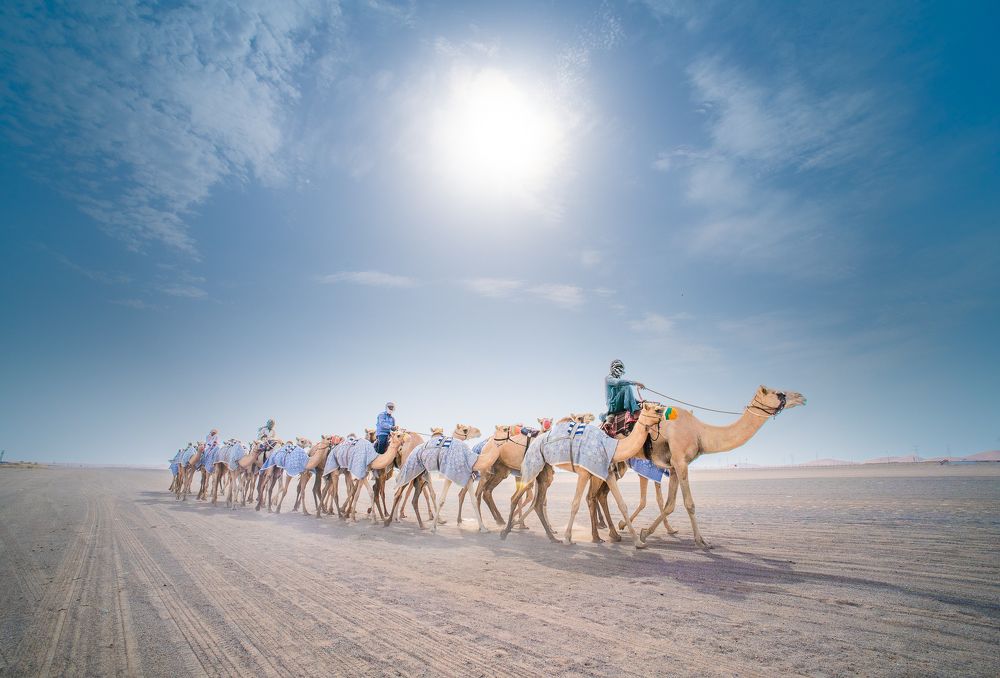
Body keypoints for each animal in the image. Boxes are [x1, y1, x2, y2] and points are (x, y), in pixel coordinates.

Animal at [501, 401, 667, 549]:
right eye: (655, 409)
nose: (664, 414)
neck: (611, 446)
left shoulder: (608, 474)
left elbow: (622, 505)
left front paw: (639, 542)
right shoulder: (584, 472)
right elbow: (575, 504)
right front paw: (568, 539)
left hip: (544, 472)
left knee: (537, 502)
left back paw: (552, 538)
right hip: (532, 465)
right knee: (516, 497)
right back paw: (505, 532)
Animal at [639, 386, 806, 548]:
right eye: (779, 393)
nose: (801, 397)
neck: (699, 433)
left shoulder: (675, 466)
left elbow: (670, 505)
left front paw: (645, 533)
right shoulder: (680, 461)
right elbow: (689, 504)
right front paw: (701, 541)